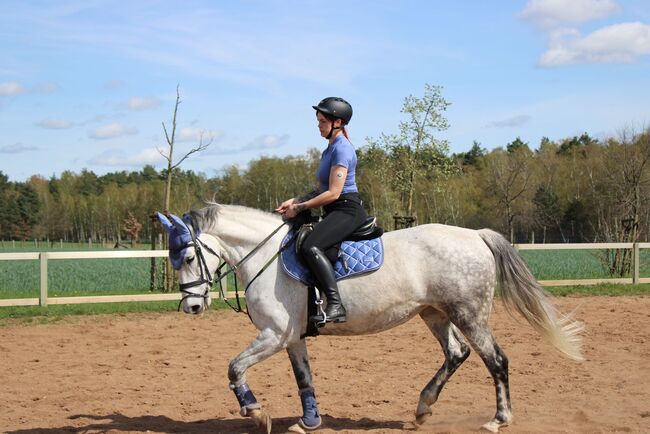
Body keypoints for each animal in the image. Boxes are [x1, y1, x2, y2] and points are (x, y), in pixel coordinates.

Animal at [158, 204, 584, 434]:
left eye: (190, 256)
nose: (191, 307)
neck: (266, 256)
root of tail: (475, 235)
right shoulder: (292, 338)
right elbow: (304, 380)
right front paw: (308, 421)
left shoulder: (274, 334)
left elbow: (234, 368)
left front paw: (255, 412)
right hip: (435, 313)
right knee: (456, 354)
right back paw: (423, 407)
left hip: (470, 314)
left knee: (495, 360)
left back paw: (499, 419)